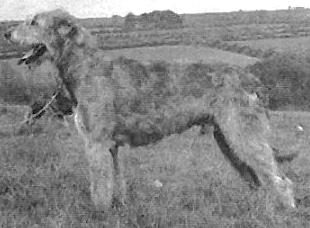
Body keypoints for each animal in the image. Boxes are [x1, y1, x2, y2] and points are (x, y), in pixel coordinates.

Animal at [4, 10, 296, 210]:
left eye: (34, 22)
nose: (6, 34)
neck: (86, 68)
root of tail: (253, 79)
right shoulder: (111, 146)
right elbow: (116, 181)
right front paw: (118, 208)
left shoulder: (96, 142)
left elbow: (99, 186)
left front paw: (97, 213)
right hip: (227, 139)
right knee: (260, 180)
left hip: (243, 134)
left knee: (280, 181)